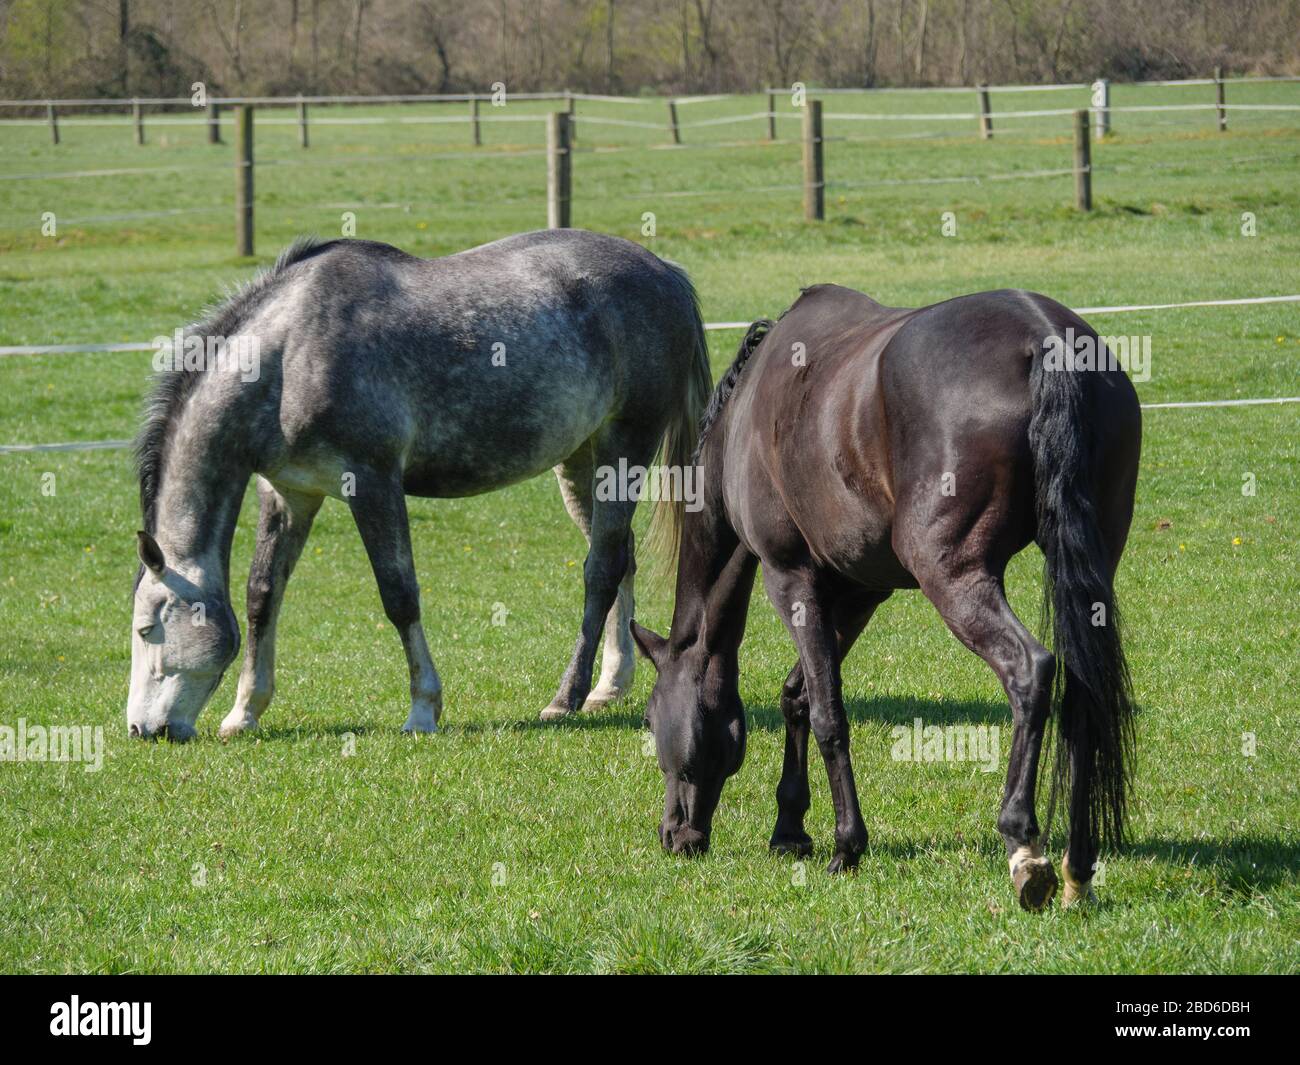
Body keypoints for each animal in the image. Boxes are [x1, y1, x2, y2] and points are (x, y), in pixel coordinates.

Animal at [127, 229, 711, 742]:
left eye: (145, 630)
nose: (141, 730)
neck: (290, 354)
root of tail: (665, 271)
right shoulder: (290, 494)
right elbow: (261, 596)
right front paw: (244, 712)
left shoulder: (372, 483)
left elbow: (399, 597)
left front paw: (423, 709)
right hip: (580, 460)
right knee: (620, 556)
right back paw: (609, 686)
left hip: (624, 446)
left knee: (601, 569)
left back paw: (565, 698)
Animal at [631, 284, 1141, 910]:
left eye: (651, 720)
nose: (673, 835)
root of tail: (1044, 336)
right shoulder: (857, 593)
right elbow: (798, 696)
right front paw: (790, 828)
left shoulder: (790, 580)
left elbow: (828, 714)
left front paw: (846, 845)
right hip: (1091, 575)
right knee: (1083, 695)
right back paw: (1077, 865)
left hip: (953, 576)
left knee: (1031, 670)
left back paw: (1023, 843)